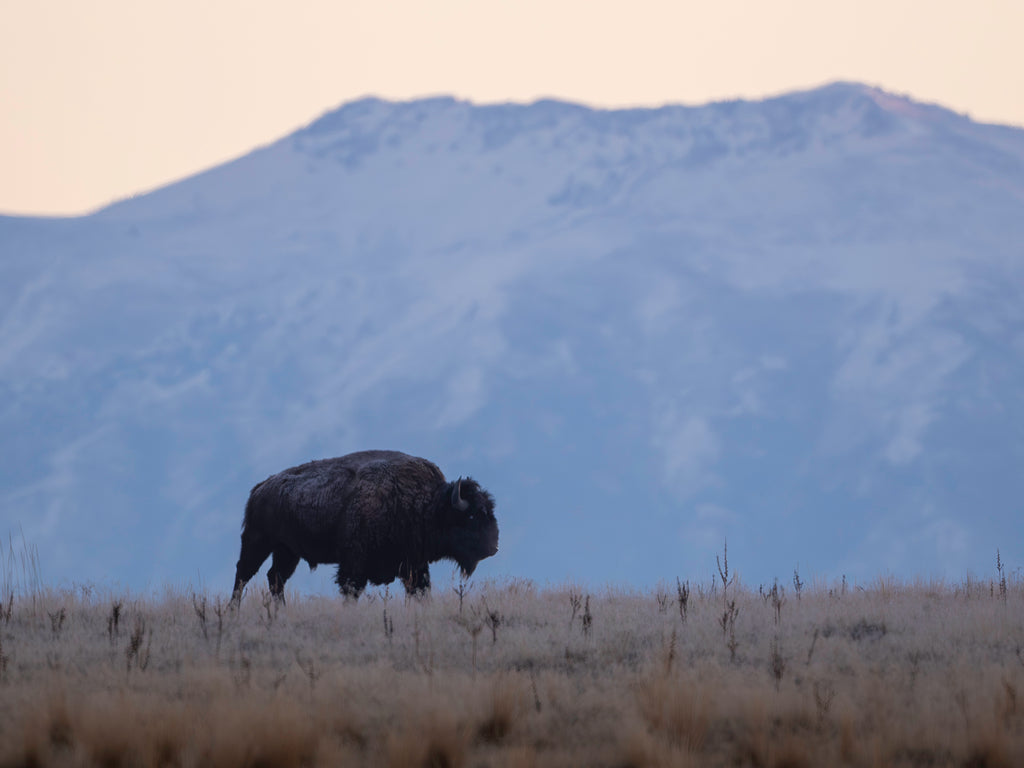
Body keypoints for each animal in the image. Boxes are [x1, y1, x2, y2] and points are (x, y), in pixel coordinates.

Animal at [231, 450, 498, 602]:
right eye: (471, 516)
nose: (494, 547)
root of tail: (261, 488)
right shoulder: (354, 564)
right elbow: (351, 590)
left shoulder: (413, 565)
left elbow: (420, 590)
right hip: (258, 541)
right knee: (244, 574)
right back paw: (234, 611)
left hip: (287, 551)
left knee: (275, 578)